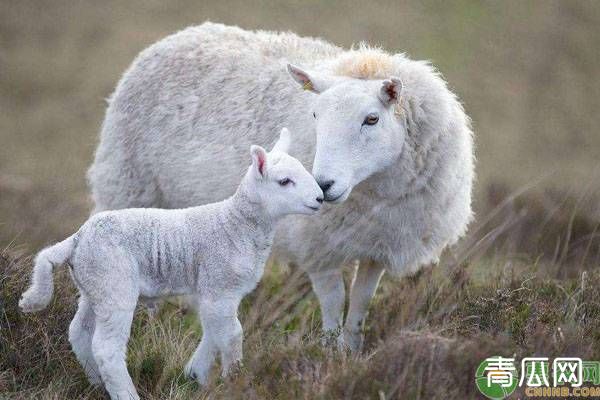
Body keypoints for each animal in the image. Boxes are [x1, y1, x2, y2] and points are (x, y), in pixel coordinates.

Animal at [17, 129, 324, 400]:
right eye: (284, 181)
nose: (320, 198)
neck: (236, 223)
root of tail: (77, 239)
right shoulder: (220, 286)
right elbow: (232, 334)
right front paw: (235, 380)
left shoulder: (215, 292)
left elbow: (214, 332)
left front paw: (195, 375)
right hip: (114, 283)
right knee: (106, 348)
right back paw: (126, 394)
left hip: (93, 285)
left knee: (79, 333)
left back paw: (95, 384)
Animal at [88, 23, 474, 352]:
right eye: (315, 115)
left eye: (372, 119)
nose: (323, 185)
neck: (374, 191)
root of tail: (181, 35)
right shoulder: (317, 246)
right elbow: (333, 302)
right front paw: (329, 353)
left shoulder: (378, 245)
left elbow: (361, 303)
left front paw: (351, 351)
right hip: (127, 185)